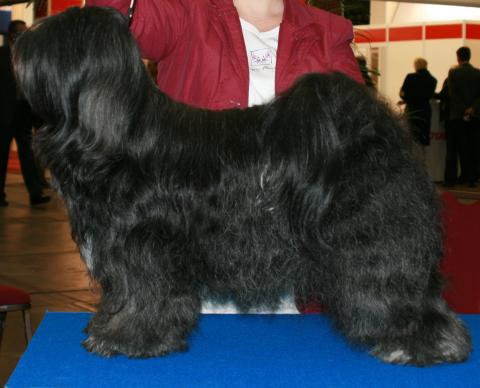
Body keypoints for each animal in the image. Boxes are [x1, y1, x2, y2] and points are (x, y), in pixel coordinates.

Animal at [13, 6, 470, 364]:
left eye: (56, 38)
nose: (18, 44)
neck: (122, 133)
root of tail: (376, 129)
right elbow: (125, 294)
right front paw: (110, 327)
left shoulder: (146, 247)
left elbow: (147, 295)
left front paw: (130, 337)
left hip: (371, 243)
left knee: (398, 289)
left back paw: (421, 344)